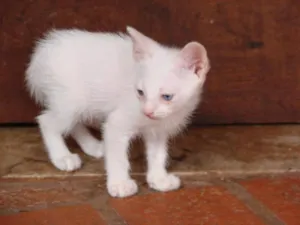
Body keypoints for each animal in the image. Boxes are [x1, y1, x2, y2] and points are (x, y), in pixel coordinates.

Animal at [25, 26, 209, 197]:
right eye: (140, 92)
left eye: (167, 96)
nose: (147, 111)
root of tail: (42, 51)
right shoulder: (117, 123)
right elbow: (118, 157)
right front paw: (120, 184)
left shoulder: (157, 130)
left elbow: (158, 154)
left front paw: (158, 179)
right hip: (71, 100)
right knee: (47, 121)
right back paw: (62, 157)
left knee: (73, 124)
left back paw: (92, 146)